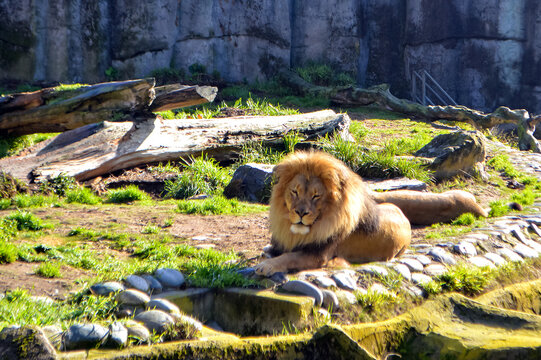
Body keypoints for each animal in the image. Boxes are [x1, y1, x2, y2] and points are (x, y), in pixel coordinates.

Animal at [253, 150, 410, 278]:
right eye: (295, 192)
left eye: (316, 196)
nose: (301, 213)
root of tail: (404, 216)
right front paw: (270, 250)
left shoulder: (317, 256)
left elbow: (289, 257)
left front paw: (266, 266)